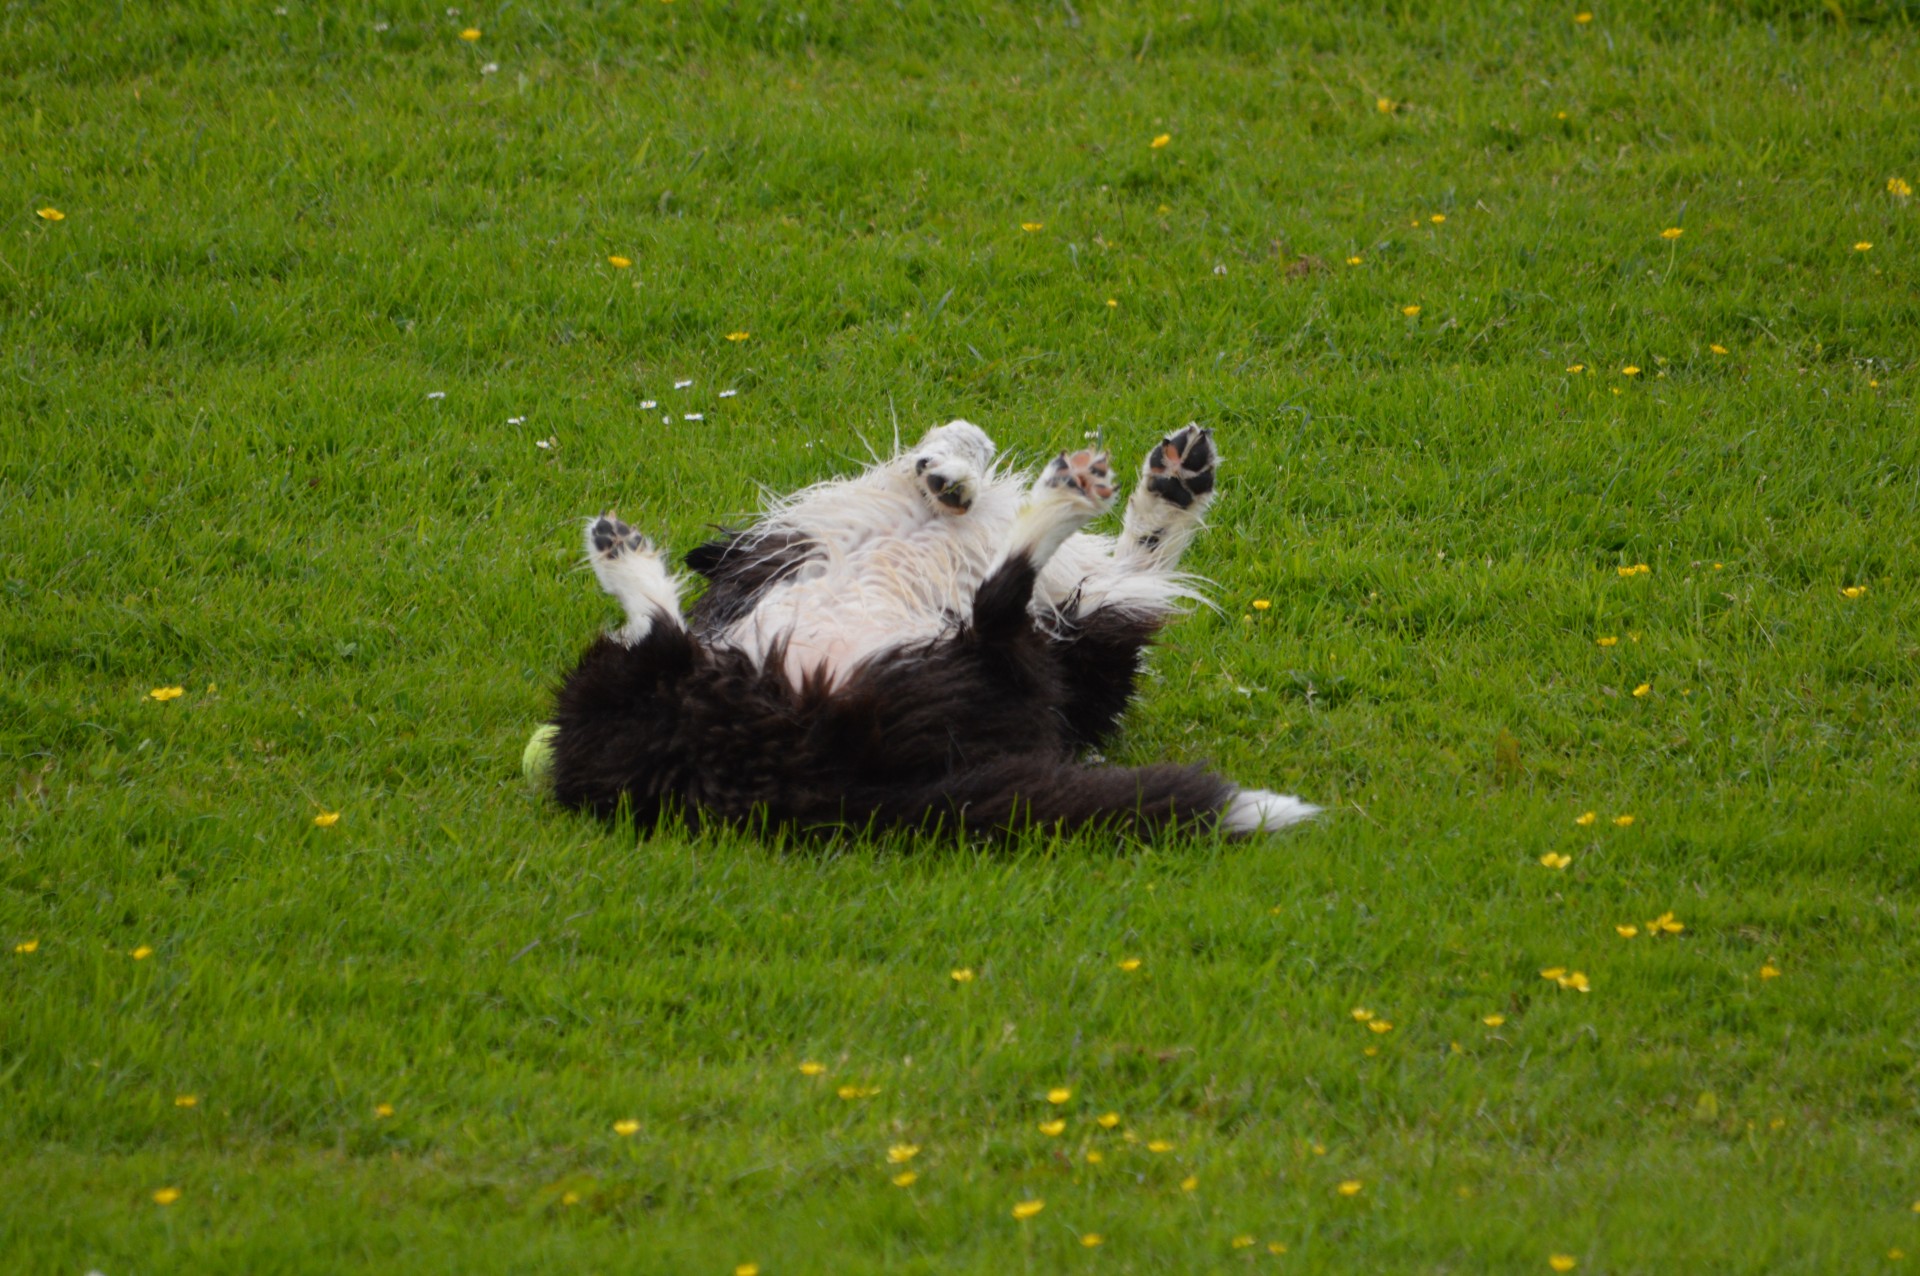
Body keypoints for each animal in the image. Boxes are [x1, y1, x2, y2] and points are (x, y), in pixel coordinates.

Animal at [541, 418, 1320, 836]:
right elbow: (962, 438)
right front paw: (950, 470)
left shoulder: (1089, 633)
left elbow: (1138, 562)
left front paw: (1173, 485)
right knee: (998, 602)